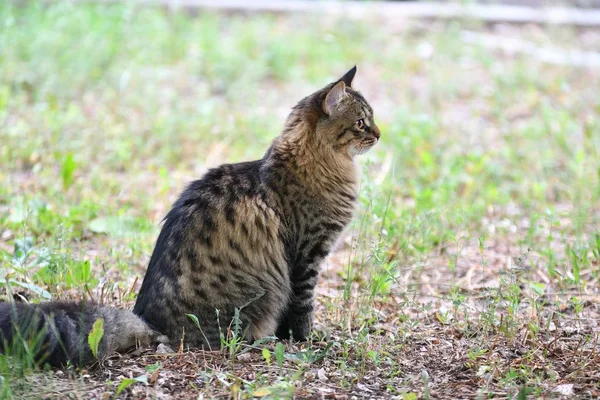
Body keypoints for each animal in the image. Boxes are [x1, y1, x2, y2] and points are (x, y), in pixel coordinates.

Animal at [0, 65, 380, 366]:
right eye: (362, 122)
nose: (379, 134)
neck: (321, 163)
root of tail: (149, 323)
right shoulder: (307, 254)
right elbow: (303, 308)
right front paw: (307, 340)